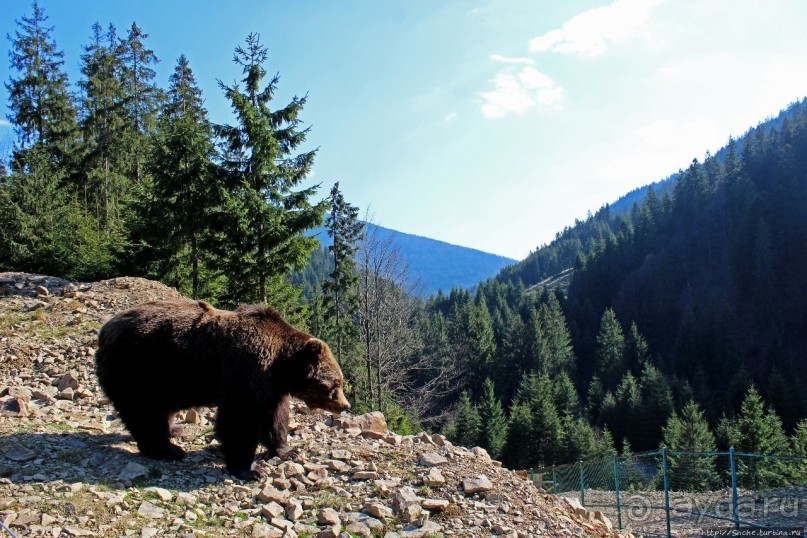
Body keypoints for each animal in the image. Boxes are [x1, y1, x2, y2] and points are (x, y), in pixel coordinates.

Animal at [94, 300, 348, 480]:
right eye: (335, 383)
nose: (345, 405)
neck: (281, 366)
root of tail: (104, 329)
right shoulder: (246, 372)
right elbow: (240, 419)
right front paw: (248, 470)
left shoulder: (271, 389)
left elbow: (274, 418)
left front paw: (286, 449)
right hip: (140, 369)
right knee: (145, 412)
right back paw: (167, 449)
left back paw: (174, 430)